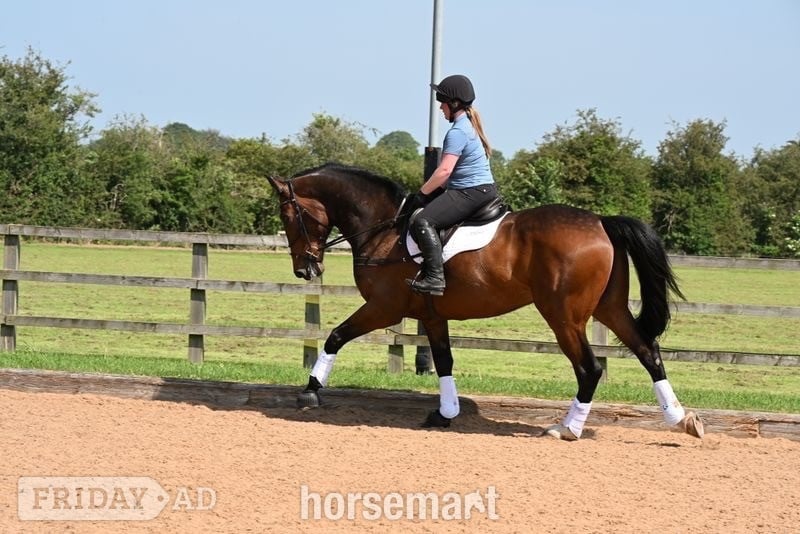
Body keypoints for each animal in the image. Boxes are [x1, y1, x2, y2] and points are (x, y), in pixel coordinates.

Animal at [267, 163, 704, 440]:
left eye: (289, 217)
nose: (305, 270)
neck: (384, 229)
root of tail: (601, 222)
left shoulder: (383, 307)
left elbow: (335, 337)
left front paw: (310, 391)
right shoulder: (431, 314)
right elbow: (443, 361)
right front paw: (445, 413)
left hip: (564, 316)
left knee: (590, 368)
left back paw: (568, 429)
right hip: (608, 308)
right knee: (648, 351)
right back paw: (681, 419)